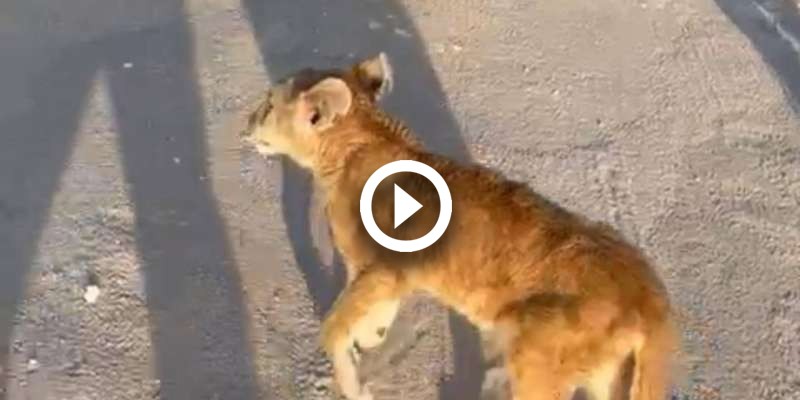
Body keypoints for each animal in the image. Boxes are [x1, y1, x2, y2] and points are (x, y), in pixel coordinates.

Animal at [241, 53, 680, 400]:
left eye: (268, 106)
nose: (245, 123)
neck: (359, 143)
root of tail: (650, 294)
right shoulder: (388, 275)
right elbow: (368, 314)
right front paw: (371, 335)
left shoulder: (380, 269)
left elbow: (333, 329)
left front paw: (354, 384)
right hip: (609, 378)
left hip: (539, 362)